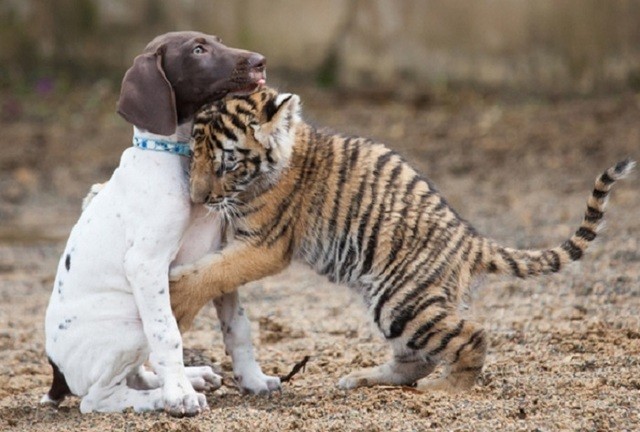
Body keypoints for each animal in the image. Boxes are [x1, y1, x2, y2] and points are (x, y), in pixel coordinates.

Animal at [169, 86, 634, 392]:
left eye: (227, 164)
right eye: (194, 155)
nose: (198, 197)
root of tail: (472, 240)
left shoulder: (265, 244)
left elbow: (213, 271)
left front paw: (176, 296)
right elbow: (212, 268)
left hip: (401, 301)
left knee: (471, 336)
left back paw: (446, 391)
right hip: (396, 304)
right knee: (416, 360)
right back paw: (360, 378)